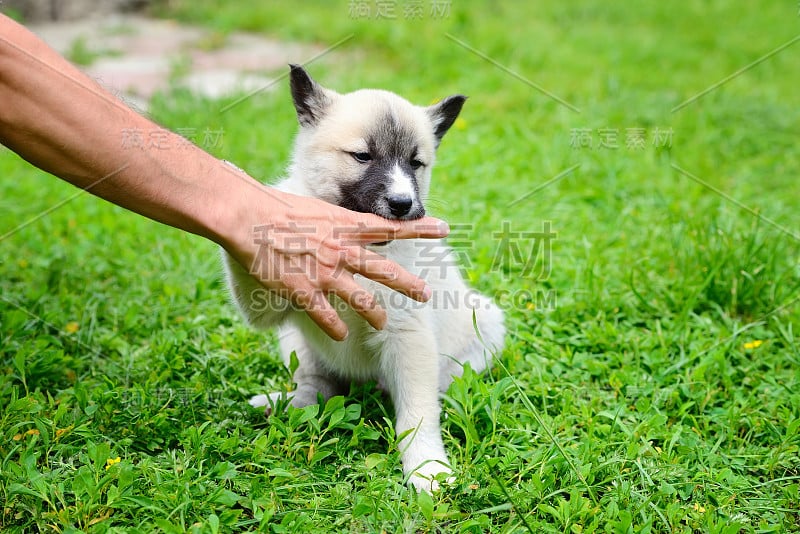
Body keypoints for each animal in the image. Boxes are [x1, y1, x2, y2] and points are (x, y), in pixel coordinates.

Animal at [222, 65, 504, 492]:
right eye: (362, 156)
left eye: (416, 163)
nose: (403, 204)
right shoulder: (273, 303)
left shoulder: (408, 333)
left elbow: (417, 416)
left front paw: (427, 468)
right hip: (297, 343)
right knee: (316, 384)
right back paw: (285, 403)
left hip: (485, 324)